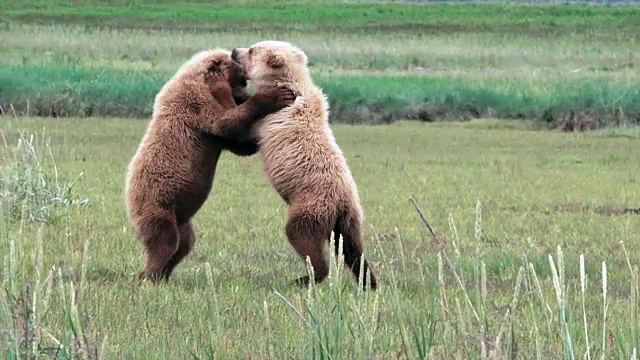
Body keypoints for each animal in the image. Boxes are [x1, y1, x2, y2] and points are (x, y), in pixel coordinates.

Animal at [125, 48, 298, 284]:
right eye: (238, 68)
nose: (236, 54)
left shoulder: (216, 138)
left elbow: (240, 143)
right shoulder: (195, 104)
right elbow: (224, 121)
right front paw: (275, 96)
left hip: (182, 218)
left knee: (183, 244)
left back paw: (163, 276)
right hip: (157, 204)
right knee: (164, 241)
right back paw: (149, 276)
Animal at [231, 40, 378, 290]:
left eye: (252, 50)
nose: (234, 51)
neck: (289, 82)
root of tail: (342, 203)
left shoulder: (270, 121)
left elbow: (246, 137)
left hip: (311, 206)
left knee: (302, 236)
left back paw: (305, 277)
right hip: (350, 219)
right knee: (352, 249)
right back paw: (369, 281)